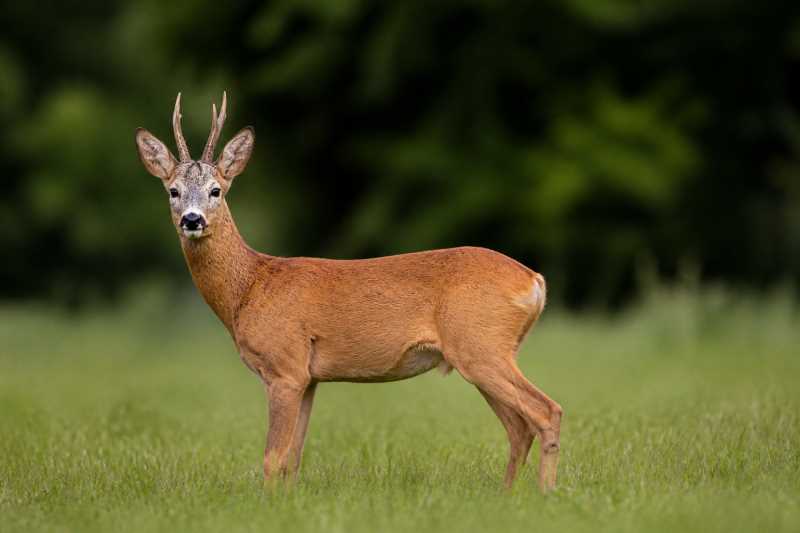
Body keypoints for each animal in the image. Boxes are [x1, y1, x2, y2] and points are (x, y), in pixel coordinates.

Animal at [134, 92, 563, 492]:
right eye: (172, 191)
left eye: (216, 190)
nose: (192, 220)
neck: (250, 287)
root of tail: (534, 279)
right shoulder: (309, 378)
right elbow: (293, 458)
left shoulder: (284, 367)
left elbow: (273, 458)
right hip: (483, 353)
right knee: (519, 427)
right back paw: (507, 496)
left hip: (481, 346)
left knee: (546, 411)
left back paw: (545, 494)